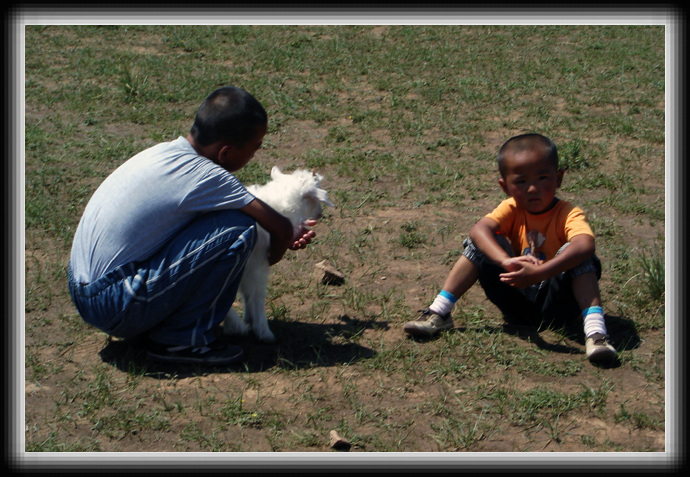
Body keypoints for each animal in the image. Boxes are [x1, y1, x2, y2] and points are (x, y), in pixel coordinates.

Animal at [222, 166, 332, 342]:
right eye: (312, 198)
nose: (319, 214)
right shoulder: (256, 264)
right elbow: (256, 295)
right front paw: (262, 331)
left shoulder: (246, 267)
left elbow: (245, 293)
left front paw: (248, 320)